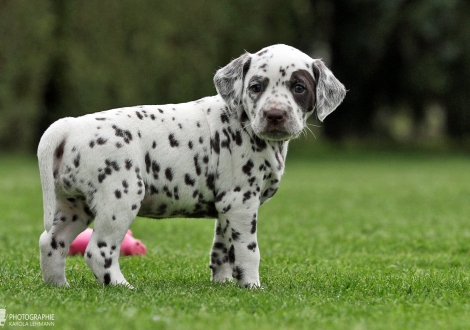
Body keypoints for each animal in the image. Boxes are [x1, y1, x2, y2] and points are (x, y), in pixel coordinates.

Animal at [38, 44, 346, 288]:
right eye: (256, 87)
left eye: (299, 88)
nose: (275, 115)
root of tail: (69, 125)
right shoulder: (241, 203)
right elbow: (248, 251)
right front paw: (252, 285)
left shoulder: (227, 208)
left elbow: (223, 251)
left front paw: (223, 283)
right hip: (120, 200)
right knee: (98, 251)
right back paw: (120, 285)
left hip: (74, 207)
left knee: (51, 243)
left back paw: (59, 286)